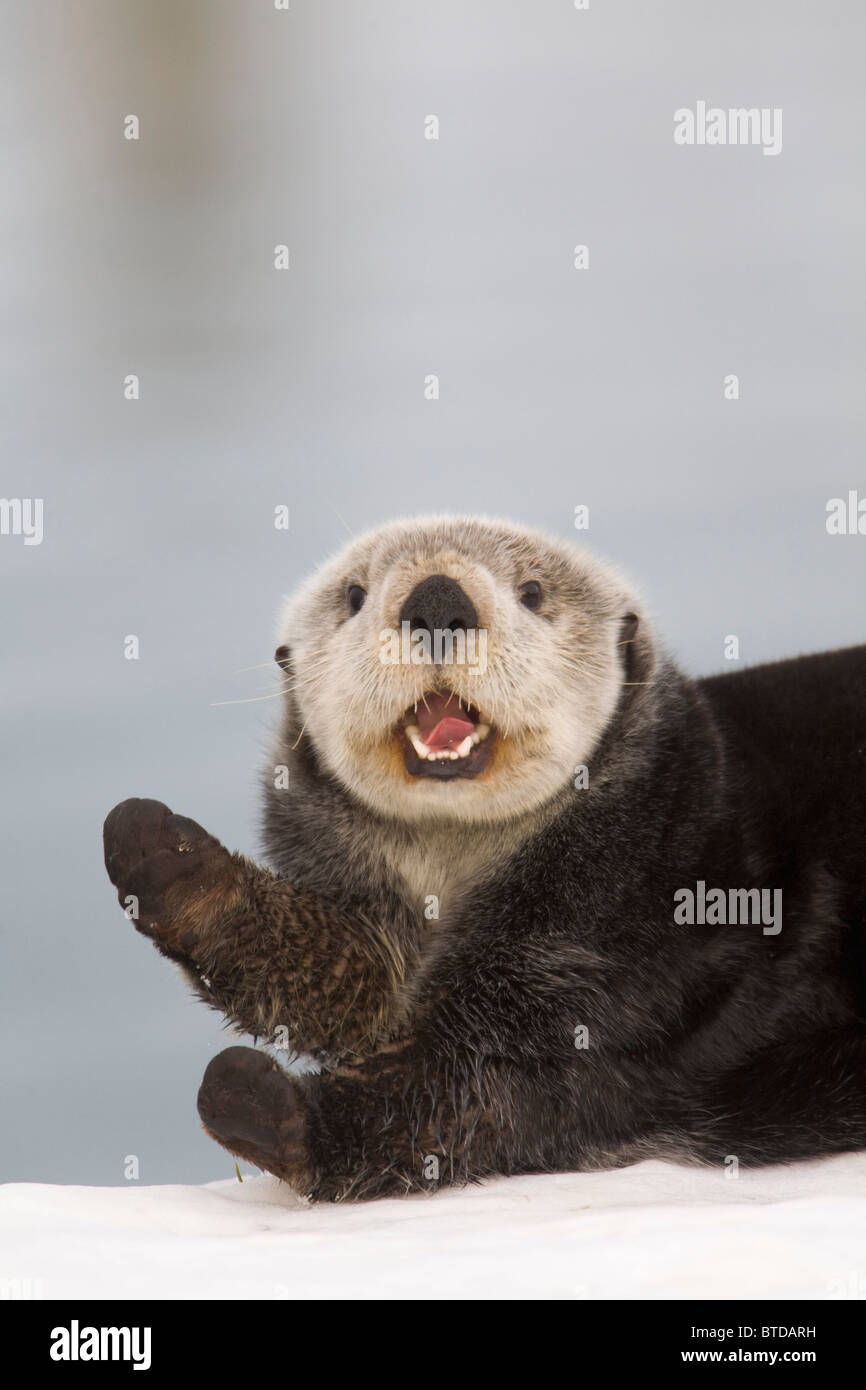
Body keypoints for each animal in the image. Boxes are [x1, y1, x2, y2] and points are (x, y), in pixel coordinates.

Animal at [103, 517, 866, 1200]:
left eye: (532, 591)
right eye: (354, 595)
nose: (438, 599)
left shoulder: (620, 952)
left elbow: (479, 1093)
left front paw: (269, 1105)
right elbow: (359, 988)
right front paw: (163, 857)